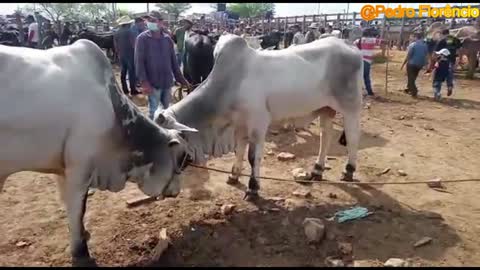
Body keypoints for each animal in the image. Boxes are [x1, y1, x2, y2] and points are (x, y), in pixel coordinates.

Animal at [0, 39, 197, 266]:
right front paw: (81, 251)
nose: (176, 192)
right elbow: (78, 210)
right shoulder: (79, 169)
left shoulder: (64, 170)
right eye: (184, 159)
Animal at [156, 34, 362, 200]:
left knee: (352, 138)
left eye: (170, 147)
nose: (164, 192)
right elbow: (239, 151)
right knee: (325, 136)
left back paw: (348, 171)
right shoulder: (239, 124)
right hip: (325, 109)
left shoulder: (258, 122)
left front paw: (253, 188)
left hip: (350, 106)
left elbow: (252, 156)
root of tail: (348, 45)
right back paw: (317, 170)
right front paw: (233, 175)